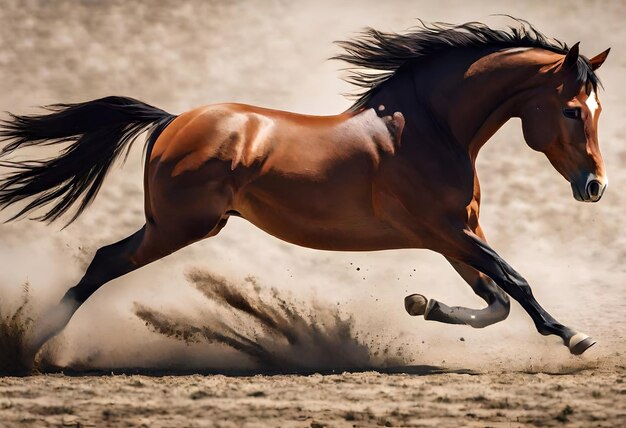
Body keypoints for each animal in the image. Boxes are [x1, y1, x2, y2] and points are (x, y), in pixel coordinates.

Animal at [0, 17, 608, 364]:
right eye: (572, 110)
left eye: (598, 110)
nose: (596, 186)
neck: (430, 128)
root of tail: (173, 121)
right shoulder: (447, 230)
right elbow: (515, 282)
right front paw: (573, 335)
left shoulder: (455, 236)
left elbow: (496, 301)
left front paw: (421, 304)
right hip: (180, 226)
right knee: (105, 260)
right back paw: (34, 348)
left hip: (177, 225)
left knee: (104, 260)